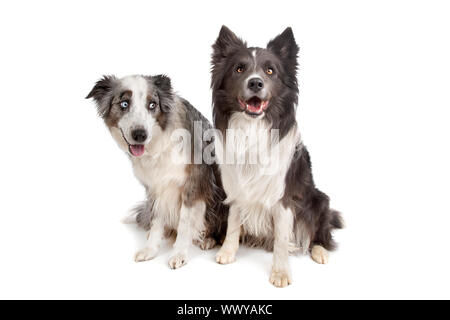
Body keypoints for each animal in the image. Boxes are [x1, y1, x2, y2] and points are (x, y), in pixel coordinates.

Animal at [86, 76, 227, 268]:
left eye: (152, 105)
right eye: (124, 104)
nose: (140, 135)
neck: (158, 144)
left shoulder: (193, 185)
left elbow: (185, 224)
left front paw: (179, 254)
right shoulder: (155, 188)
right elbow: (156, 220)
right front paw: (150, 248)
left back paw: (207, 240)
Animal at [213, 26, 342, 288]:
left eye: (270, 70)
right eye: (239, 69)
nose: (255, 82)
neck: (252, 128)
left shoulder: (283, 196)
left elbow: (282, 238)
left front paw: (281, 272)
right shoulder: (236, 188)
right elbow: (233, 223)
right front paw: (228, 252)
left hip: (319, 200)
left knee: (320, 232)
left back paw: (320, 251)